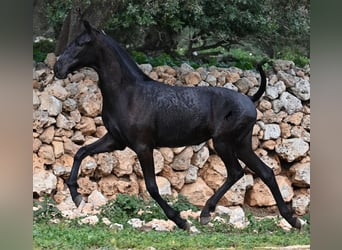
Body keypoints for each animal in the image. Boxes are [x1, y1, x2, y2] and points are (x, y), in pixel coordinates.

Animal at [52, 21, 300, 230]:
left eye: (81, 43)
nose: (57, 67)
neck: (128, 93)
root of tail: (250, 99)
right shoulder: (115, 140)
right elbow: (81, 152)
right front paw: (76, 195)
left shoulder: (143, 146)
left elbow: (152, 187)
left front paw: (180, 220)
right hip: (241, 145)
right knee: (265, 172)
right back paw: (292, 220)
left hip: (224, 143)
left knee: (237, 172)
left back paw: (206, 213)